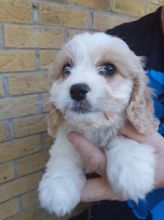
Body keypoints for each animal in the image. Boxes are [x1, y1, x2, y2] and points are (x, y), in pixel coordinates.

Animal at [38, 32, 158, 217]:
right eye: (66, 69)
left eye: (109, 68)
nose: (77, 90)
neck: (94, 129)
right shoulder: (67, 133)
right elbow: (64, 152)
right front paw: (58, 186)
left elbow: (122, 136)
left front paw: (131, 170)